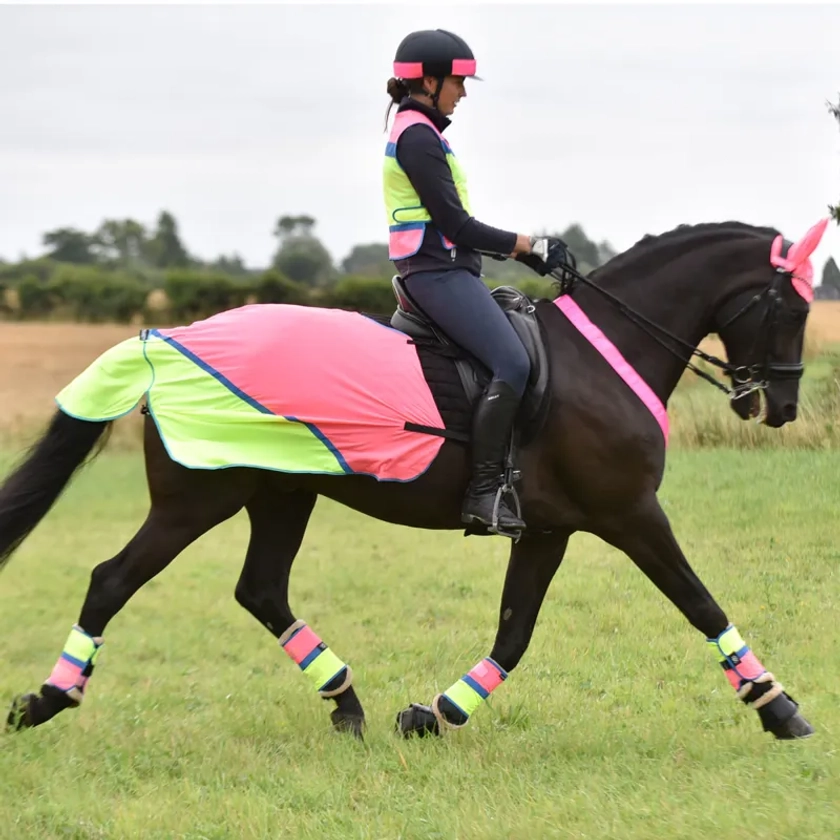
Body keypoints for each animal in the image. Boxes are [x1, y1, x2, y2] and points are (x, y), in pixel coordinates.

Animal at [0, 217, 828, 740]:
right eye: (791, 307)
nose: (781, 406)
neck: (604, 355)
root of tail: (165, 340)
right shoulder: (630, 513)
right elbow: (701, 603)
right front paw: (776, 707)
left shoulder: (550, 528)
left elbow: (514, 633)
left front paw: (434, 715)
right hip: (200, 497)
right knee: (112, 579)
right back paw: (46, 700)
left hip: (282, 493)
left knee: (261, 590)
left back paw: (348, 704)